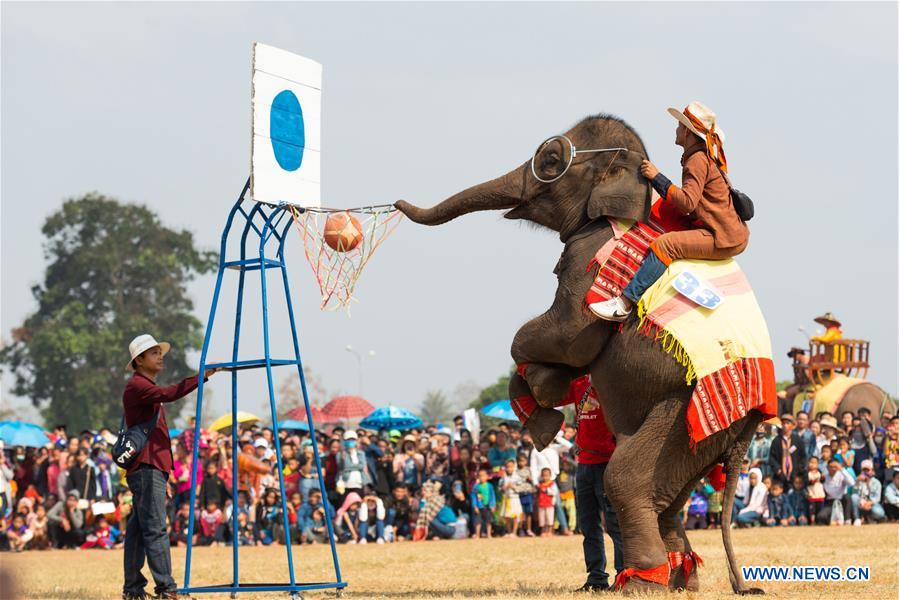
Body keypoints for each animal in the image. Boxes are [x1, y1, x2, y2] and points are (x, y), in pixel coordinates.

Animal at [400, 112, 772, 596]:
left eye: (550, 160)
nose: (395, 201)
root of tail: (754, 419)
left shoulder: (589, 256)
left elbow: (568, 335)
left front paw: (544, 399)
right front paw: (548, 395)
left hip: (682, 412)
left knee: (626, 478)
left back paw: (641, 583)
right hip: (710, 436)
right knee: (670, 496)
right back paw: (679, 580)